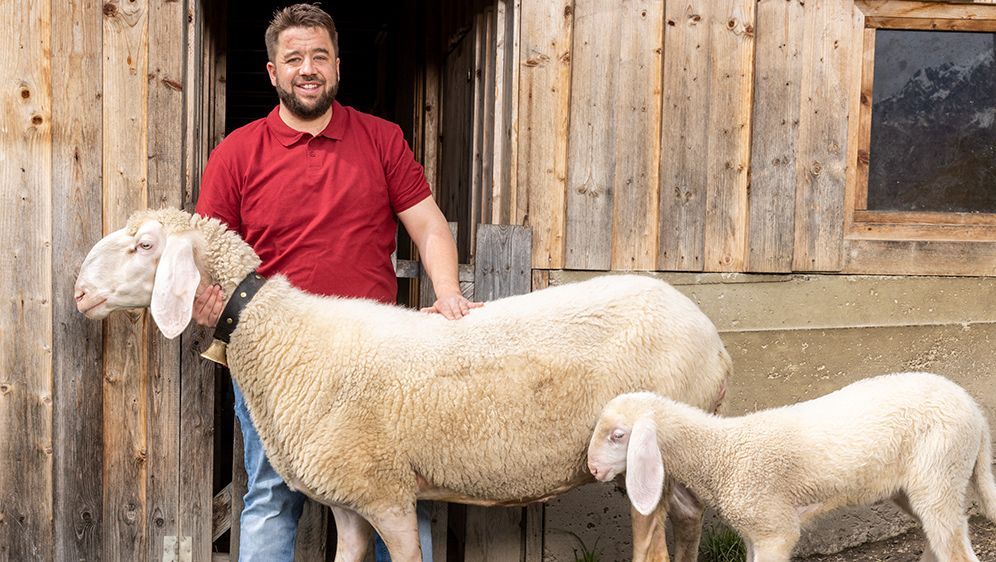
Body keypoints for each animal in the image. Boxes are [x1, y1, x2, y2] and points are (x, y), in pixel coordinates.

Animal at [76, 208, 732, 560]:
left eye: (145, 245)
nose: (79, 292)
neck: (283, 335)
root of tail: (715, 342)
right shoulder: (346, 499)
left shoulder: (387, 494)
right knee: (689, 520)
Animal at [588, 372, 996, 560]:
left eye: (618, 436)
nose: (592, 469)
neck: (722, 453)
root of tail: (975, 412)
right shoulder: (753, 533)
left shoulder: (776, 529)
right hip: (913, 488)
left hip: (940, 474)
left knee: (956, 546)